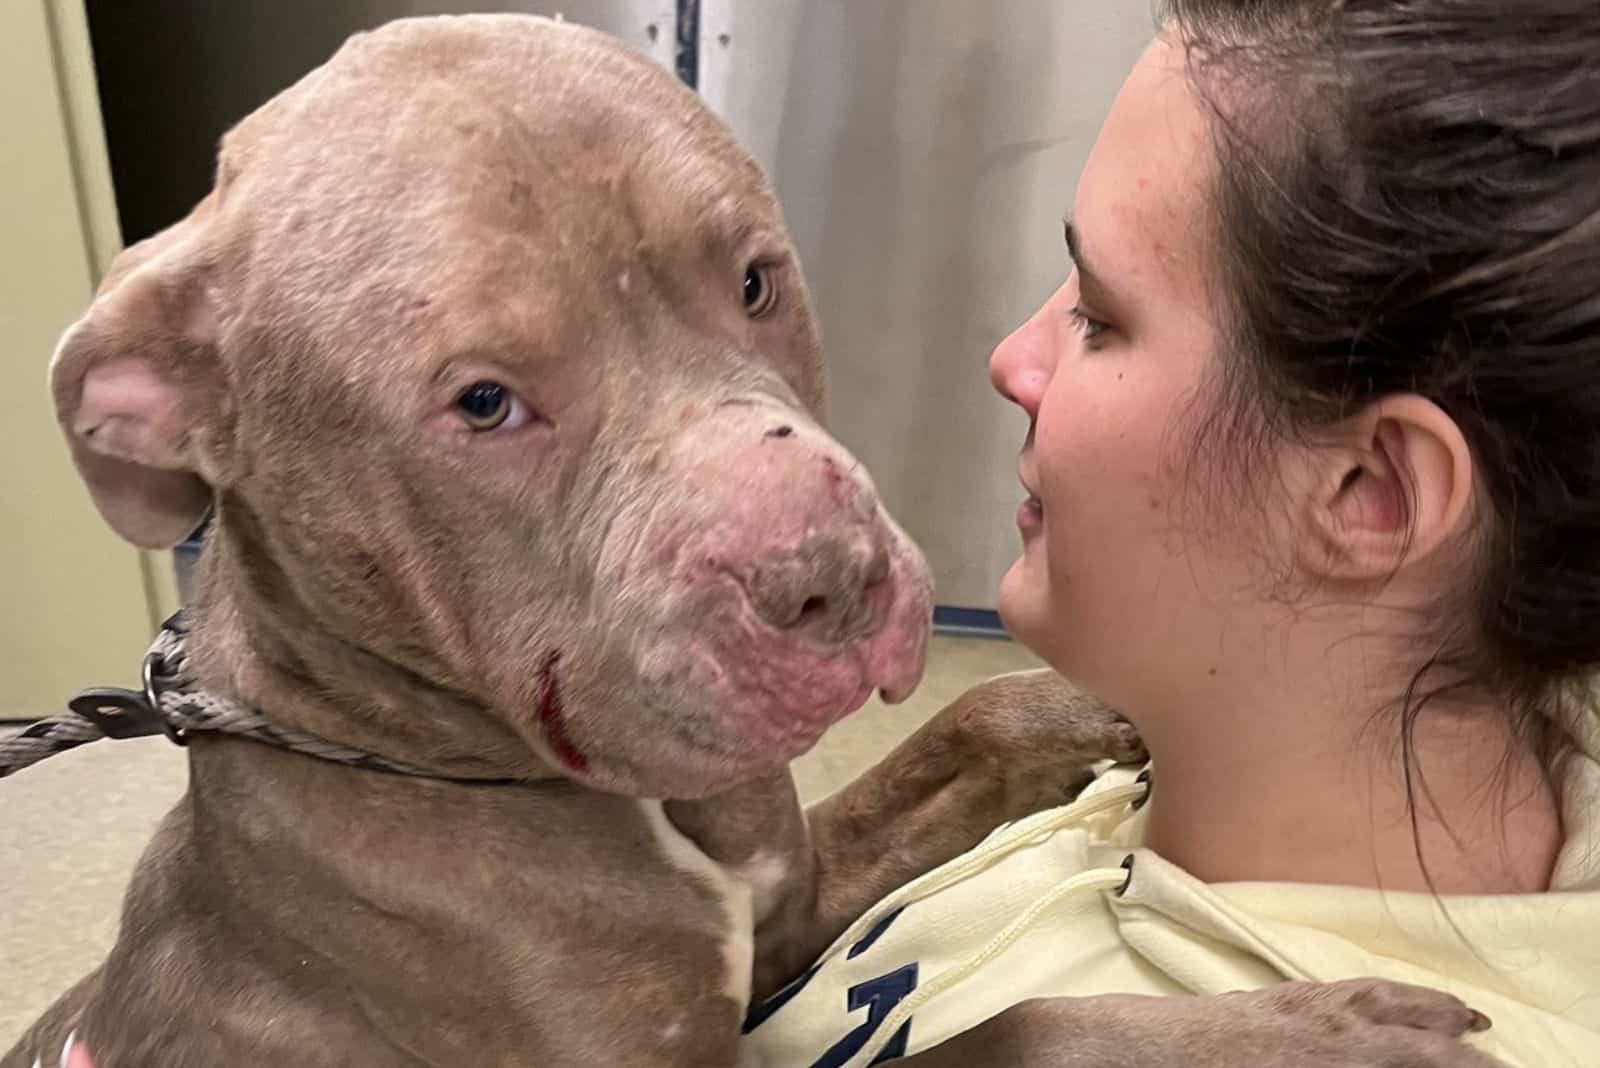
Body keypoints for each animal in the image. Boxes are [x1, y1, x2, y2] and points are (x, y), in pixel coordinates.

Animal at [6, 16, 1497, 1068]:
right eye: (482, 403)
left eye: (755, 280)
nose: (829, 582)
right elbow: (1018, 1032)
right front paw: (1305, 1034)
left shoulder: (793, 894)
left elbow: (957, 739)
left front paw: (1088, 706)